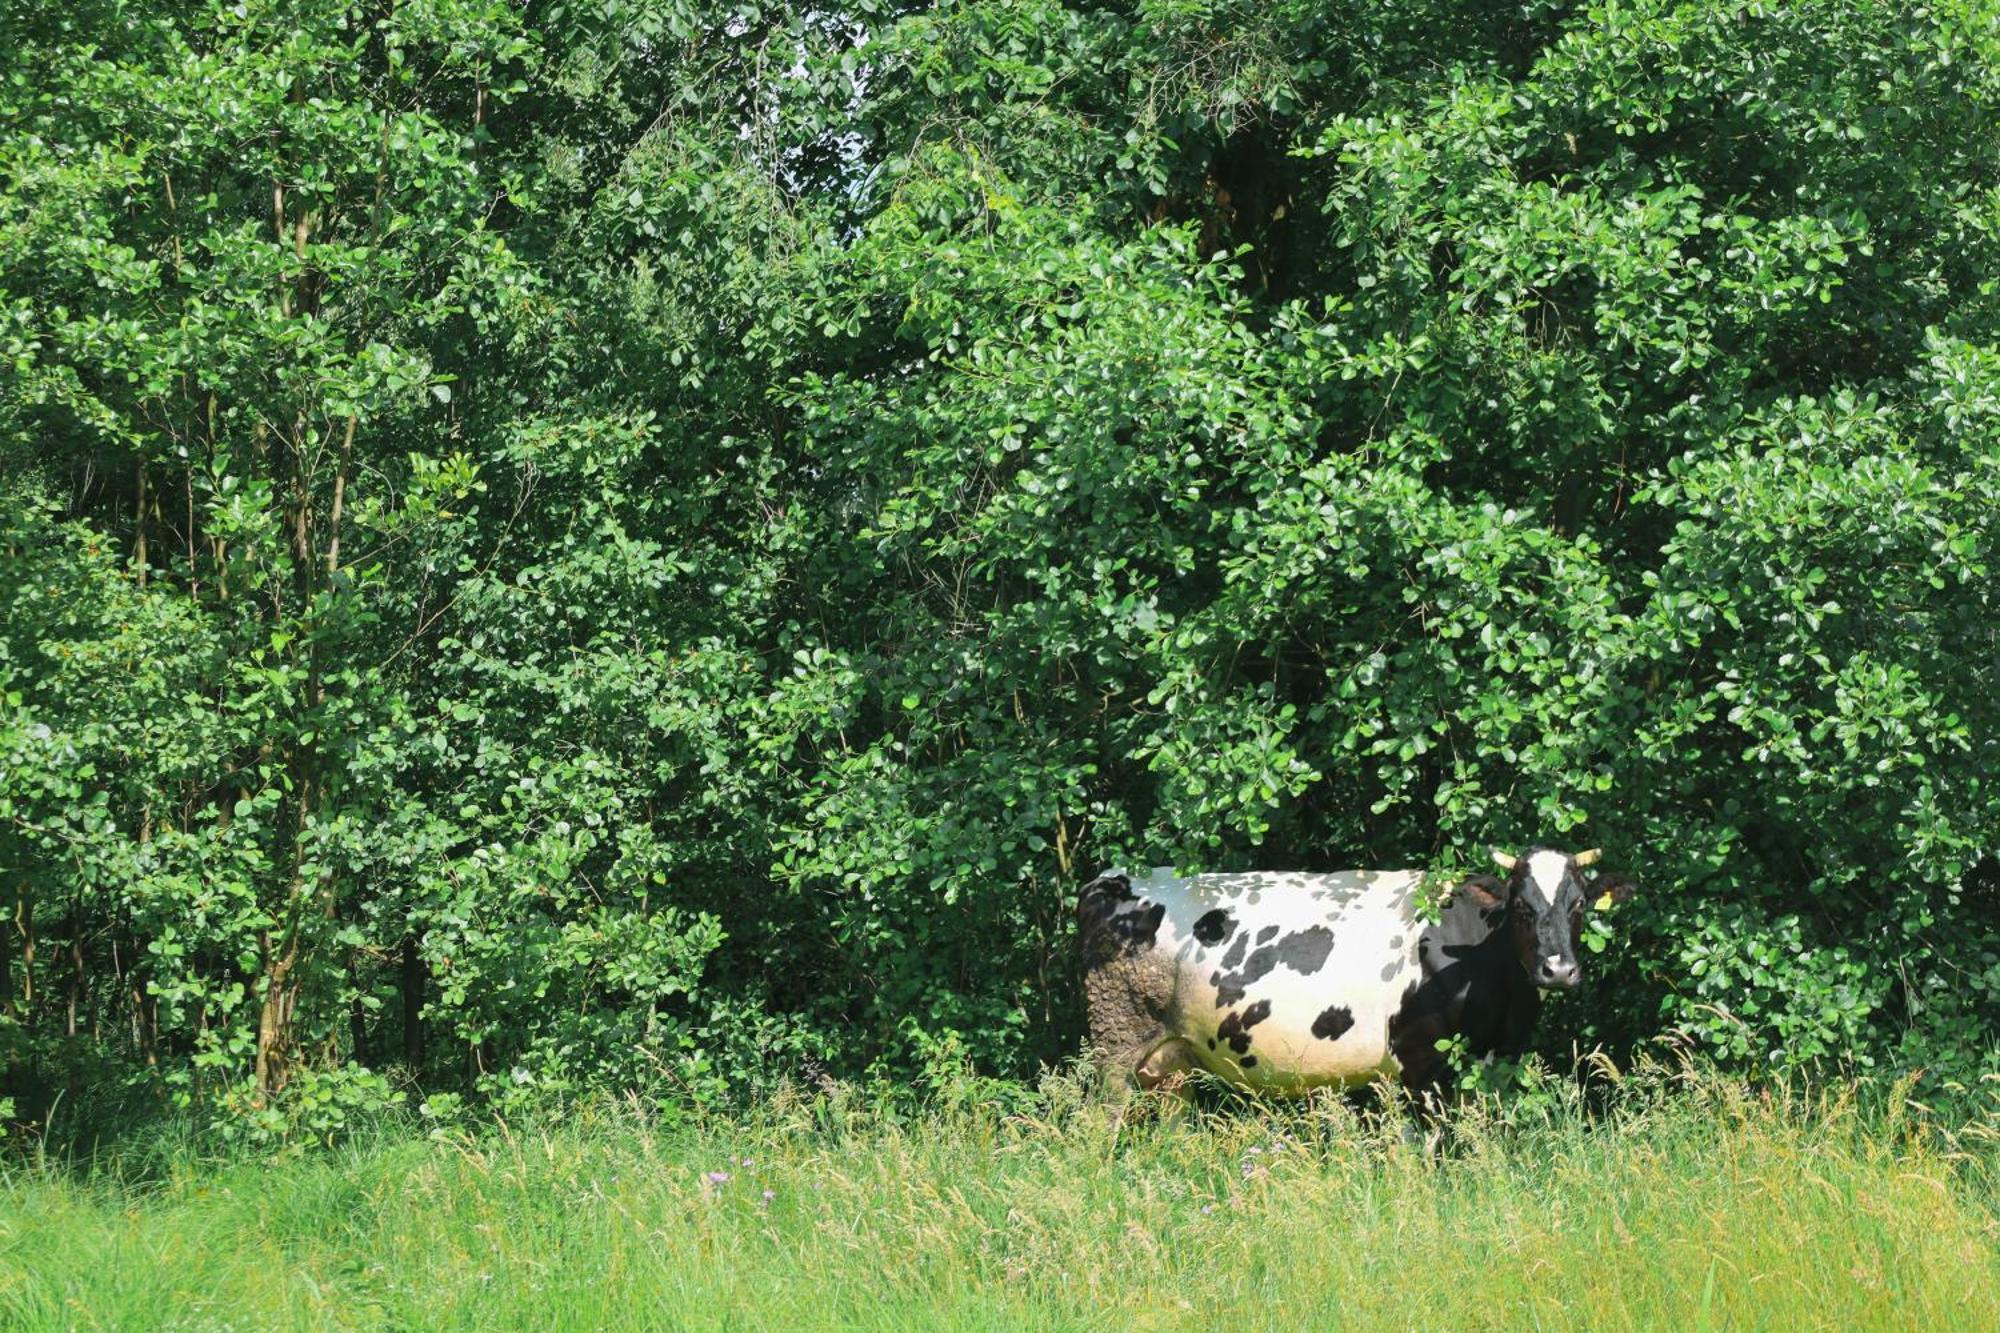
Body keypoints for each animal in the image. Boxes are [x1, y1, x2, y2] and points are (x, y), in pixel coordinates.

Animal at [1088, 844, 1632, 1096]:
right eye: (1521, 907)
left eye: (1579, 904)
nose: (1557, 969)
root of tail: (1113, 878)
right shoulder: (1420, 1060)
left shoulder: (1497, 1059)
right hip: (1113, 1041)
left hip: (1171, 1060)